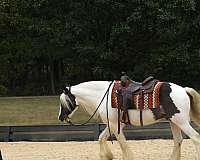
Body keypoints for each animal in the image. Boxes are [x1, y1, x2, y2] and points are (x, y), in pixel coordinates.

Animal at [57, 80, 200, 160]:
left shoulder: (115, 125)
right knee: (178, 141)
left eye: (63, 102)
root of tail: (184, 90)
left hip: (181, 121)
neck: (103, 95)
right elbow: (101, 138)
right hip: (173, 121)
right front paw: (107, 156)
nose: (60, 117)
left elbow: (123, 144)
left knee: (195, 138)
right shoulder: (115, 124)